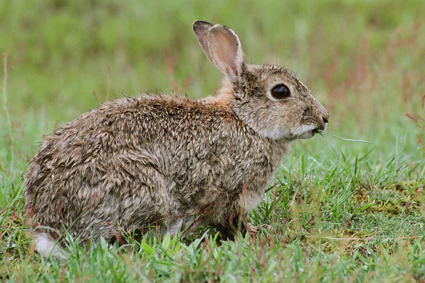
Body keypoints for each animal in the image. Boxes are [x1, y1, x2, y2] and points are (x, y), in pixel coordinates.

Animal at [23, 20, 330, 262]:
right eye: (280, 91)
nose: (324, 117)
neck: (247, 123)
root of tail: (48, 222)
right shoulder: (229, 191)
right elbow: (232, 221)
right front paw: (256, 234)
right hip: (144, 190)